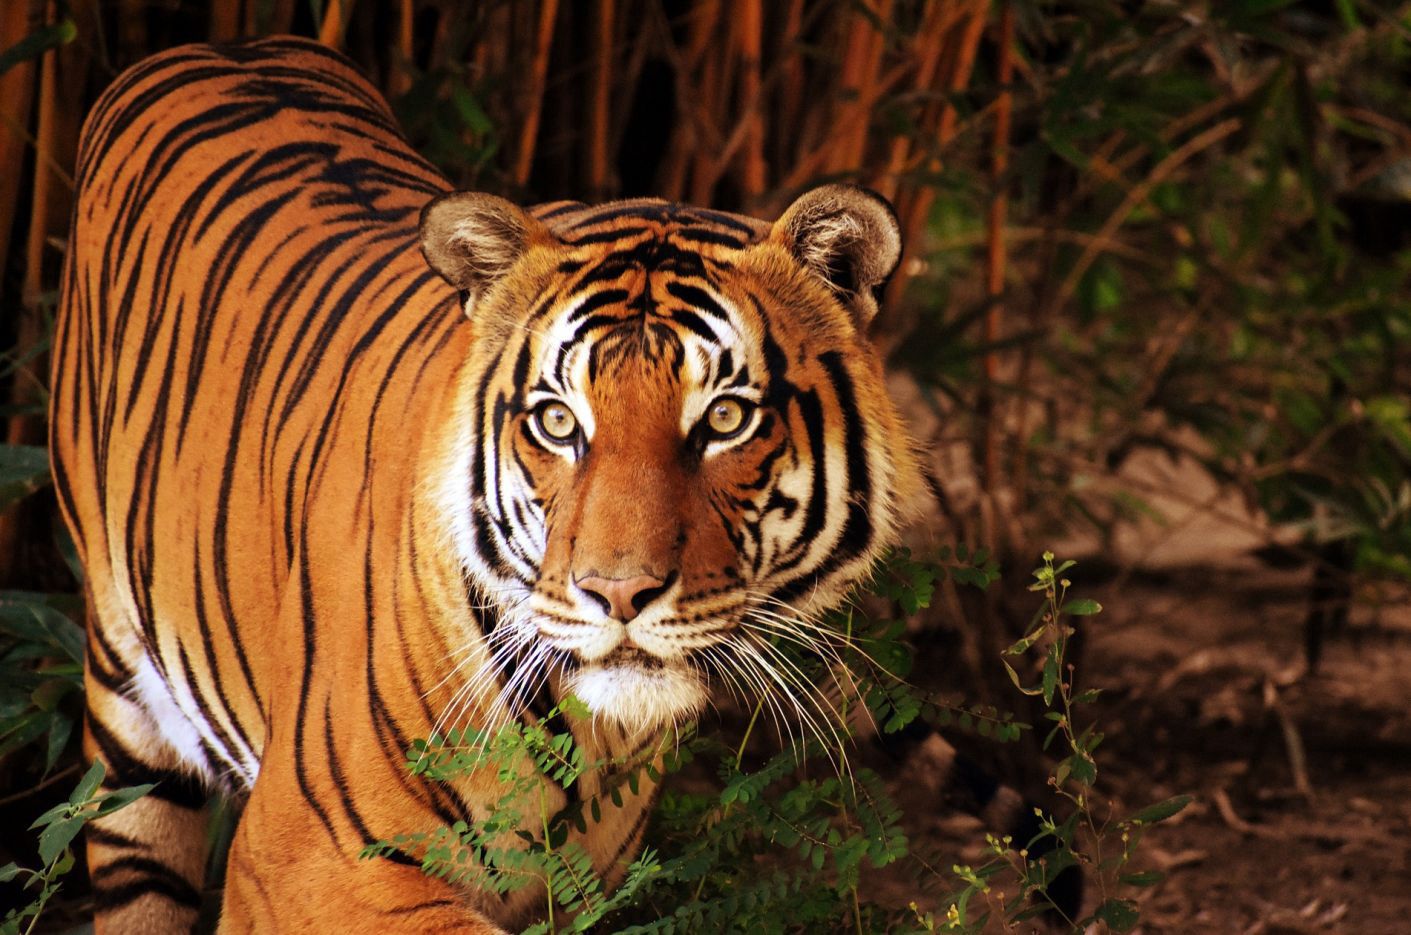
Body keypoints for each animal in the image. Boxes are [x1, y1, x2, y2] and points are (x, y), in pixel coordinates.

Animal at [49, 34, 919, 930]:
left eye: (723, 419)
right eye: (559, 422)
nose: (619, 594)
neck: (589, 737)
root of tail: (226, 43)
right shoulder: (305, 859)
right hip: (127, 719)